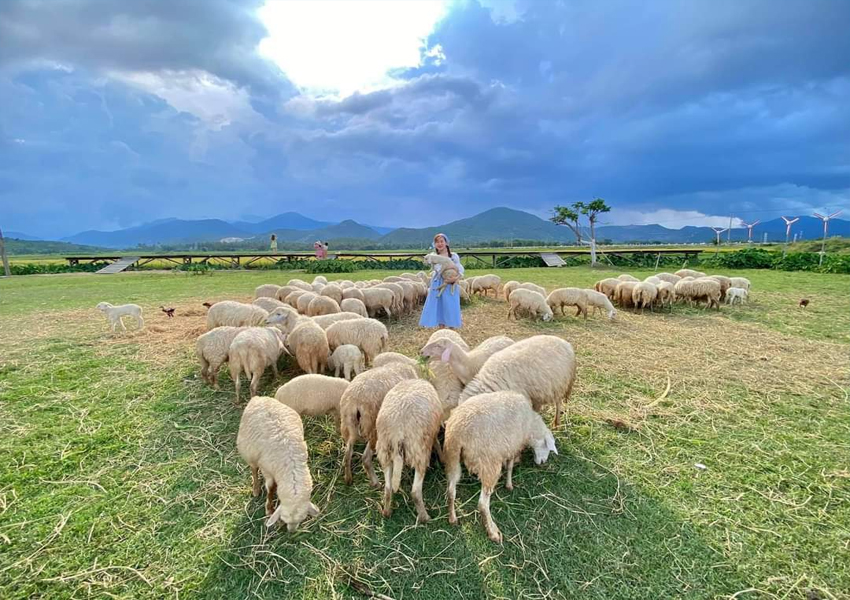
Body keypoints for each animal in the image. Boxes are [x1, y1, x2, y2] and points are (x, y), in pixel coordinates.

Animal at [235, 398, 318, 528]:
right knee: (253, 469)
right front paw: (269, 509)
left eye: (302, 519)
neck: (290, 466)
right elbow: (271, 488)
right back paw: (256, 489)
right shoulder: (267, 469)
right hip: (249, 451)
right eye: (283, 519)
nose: (292, 531)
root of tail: (258, 398)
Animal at [378, 382, 444, 524]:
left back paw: (386, 512)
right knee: (415, 492)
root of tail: (397, 432)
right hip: (419, 451)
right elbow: (436, 442)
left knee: (388, 488)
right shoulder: (433, 433)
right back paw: (425, 518)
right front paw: (442, 458)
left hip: (384, 451)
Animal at [444, 392, 556, 540]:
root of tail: (458, 433)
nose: (542, 463)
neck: (530, 425)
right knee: (482, 504)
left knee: (451, 490)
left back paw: (452, 519)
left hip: (452, 458)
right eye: (547, 447)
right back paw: (492, 532)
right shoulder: (513, 445)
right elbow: (510, 466)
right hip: (489, 463)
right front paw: (509, 484)